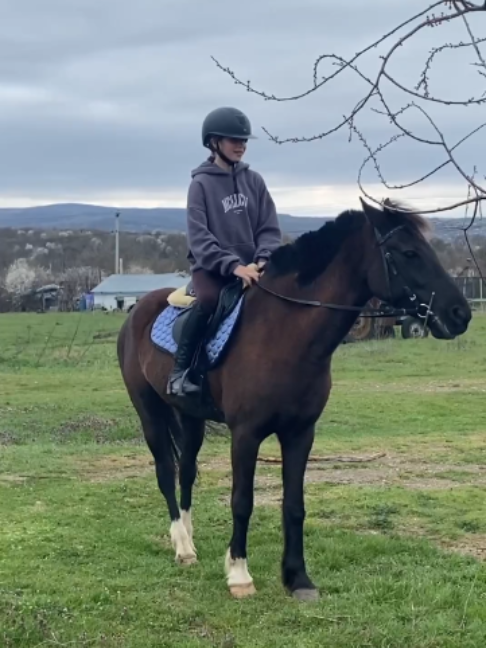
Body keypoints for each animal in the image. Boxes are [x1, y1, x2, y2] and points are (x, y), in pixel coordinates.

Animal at [117, 198, 471, 602]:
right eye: (408, 252)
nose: (460, 314)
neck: (284, 333)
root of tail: (138, 311)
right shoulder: (246, 434)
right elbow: (242, 501)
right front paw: (239, 574)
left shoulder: (301, 433)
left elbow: (294, 505)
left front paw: (297, 577)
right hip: (149, 412)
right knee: (165, 471)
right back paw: (180, 546)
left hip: (190, 418)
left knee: (187, 470)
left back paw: (189, 543)